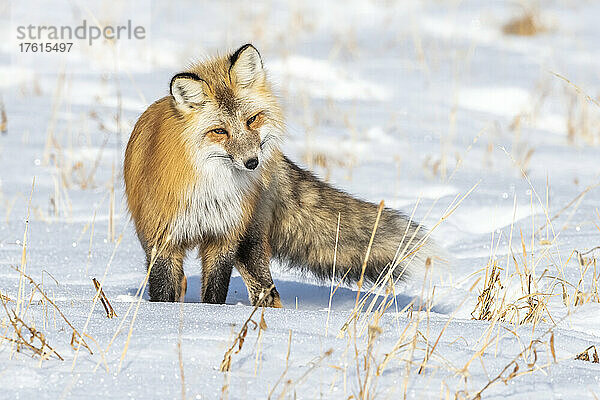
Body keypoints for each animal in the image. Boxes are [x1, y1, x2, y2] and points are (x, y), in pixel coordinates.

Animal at [123, 43, 440, 306]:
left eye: (252, 120)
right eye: (220, 132)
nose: (252, 162)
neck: (212, 188)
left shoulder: (224, 239)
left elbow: (215, 292)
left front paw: (212, 314)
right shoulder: (162, 240)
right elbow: (163, 292)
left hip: (248, 244)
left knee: (268, 292)